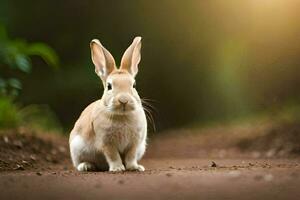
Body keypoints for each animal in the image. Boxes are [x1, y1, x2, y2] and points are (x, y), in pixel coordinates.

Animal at [68, 36, 148, 172]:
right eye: (109, 86)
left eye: (134, 85)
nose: (124, 100)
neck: (122, 115)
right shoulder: (106, 142)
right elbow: (113, 155)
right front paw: (117, 169)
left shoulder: (134, 143)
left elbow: (131, 156)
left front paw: (134, 168)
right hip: (76, 149)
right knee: (79, 163)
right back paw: (86, 166)